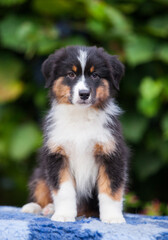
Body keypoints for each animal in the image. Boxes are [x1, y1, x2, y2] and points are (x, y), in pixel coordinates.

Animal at [21, 45, 129, 223]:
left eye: (95, 75)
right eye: (71, 74)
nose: (84, 93)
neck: (80, 116)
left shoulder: (111, 153)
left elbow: (110, 190)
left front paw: (112, 218)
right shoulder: (57, 154)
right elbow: (64, 190)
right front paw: (64, 215)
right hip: (40, 172)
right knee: (42, 188)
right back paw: (37, 208)